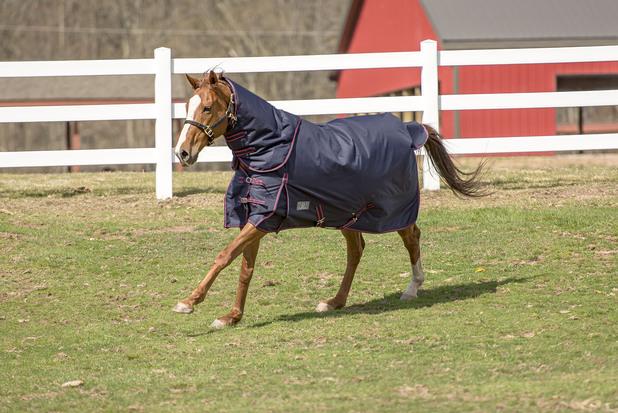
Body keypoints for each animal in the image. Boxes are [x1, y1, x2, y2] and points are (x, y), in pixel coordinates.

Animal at [171, 71, 484, 328]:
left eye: (207, 107)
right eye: (187, 106)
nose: (182, 152)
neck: (270, 148)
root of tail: (407, 130)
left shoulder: (263, 219)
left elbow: (225, 256)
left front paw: (188, 302)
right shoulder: (255, 216)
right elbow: (245, 266)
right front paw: (231, 317)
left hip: (393, 209)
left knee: (412, 237)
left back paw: (412, 288)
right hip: (349, 214)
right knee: (356, 250)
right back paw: (335, 302)